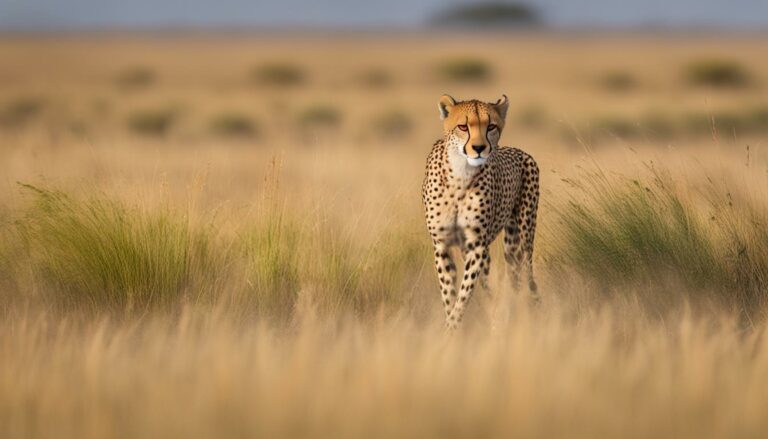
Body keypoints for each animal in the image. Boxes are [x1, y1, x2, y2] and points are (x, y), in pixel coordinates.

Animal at [420, 95, 540, 330]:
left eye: (491, 126)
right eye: (462, 127)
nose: (478, 148)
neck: (460, 174)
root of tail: (520, 151)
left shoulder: (475, 246)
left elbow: (463, 297)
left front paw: (452, 329)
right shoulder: (442, 245)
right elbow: (450, 296)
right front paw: (450, 328)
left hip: (521, 240)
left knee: (524, 278)